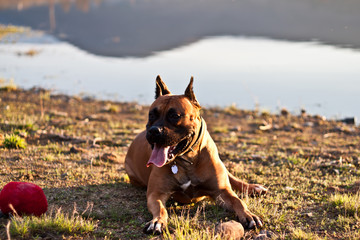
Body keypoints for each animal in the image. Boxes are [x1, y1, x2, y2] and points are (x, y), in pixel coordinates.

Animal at [124, 76, 268, 233]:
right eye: (151, 115)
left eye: (174, 116)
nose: (154, 131)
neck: (187, 159)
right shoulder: (155, 194)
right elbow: (161, 209)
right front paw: (157, 221)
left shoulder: (222, 191)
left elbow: (238, 201)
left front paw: (249, 215)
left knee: (233, 179)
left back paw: (254, 188)